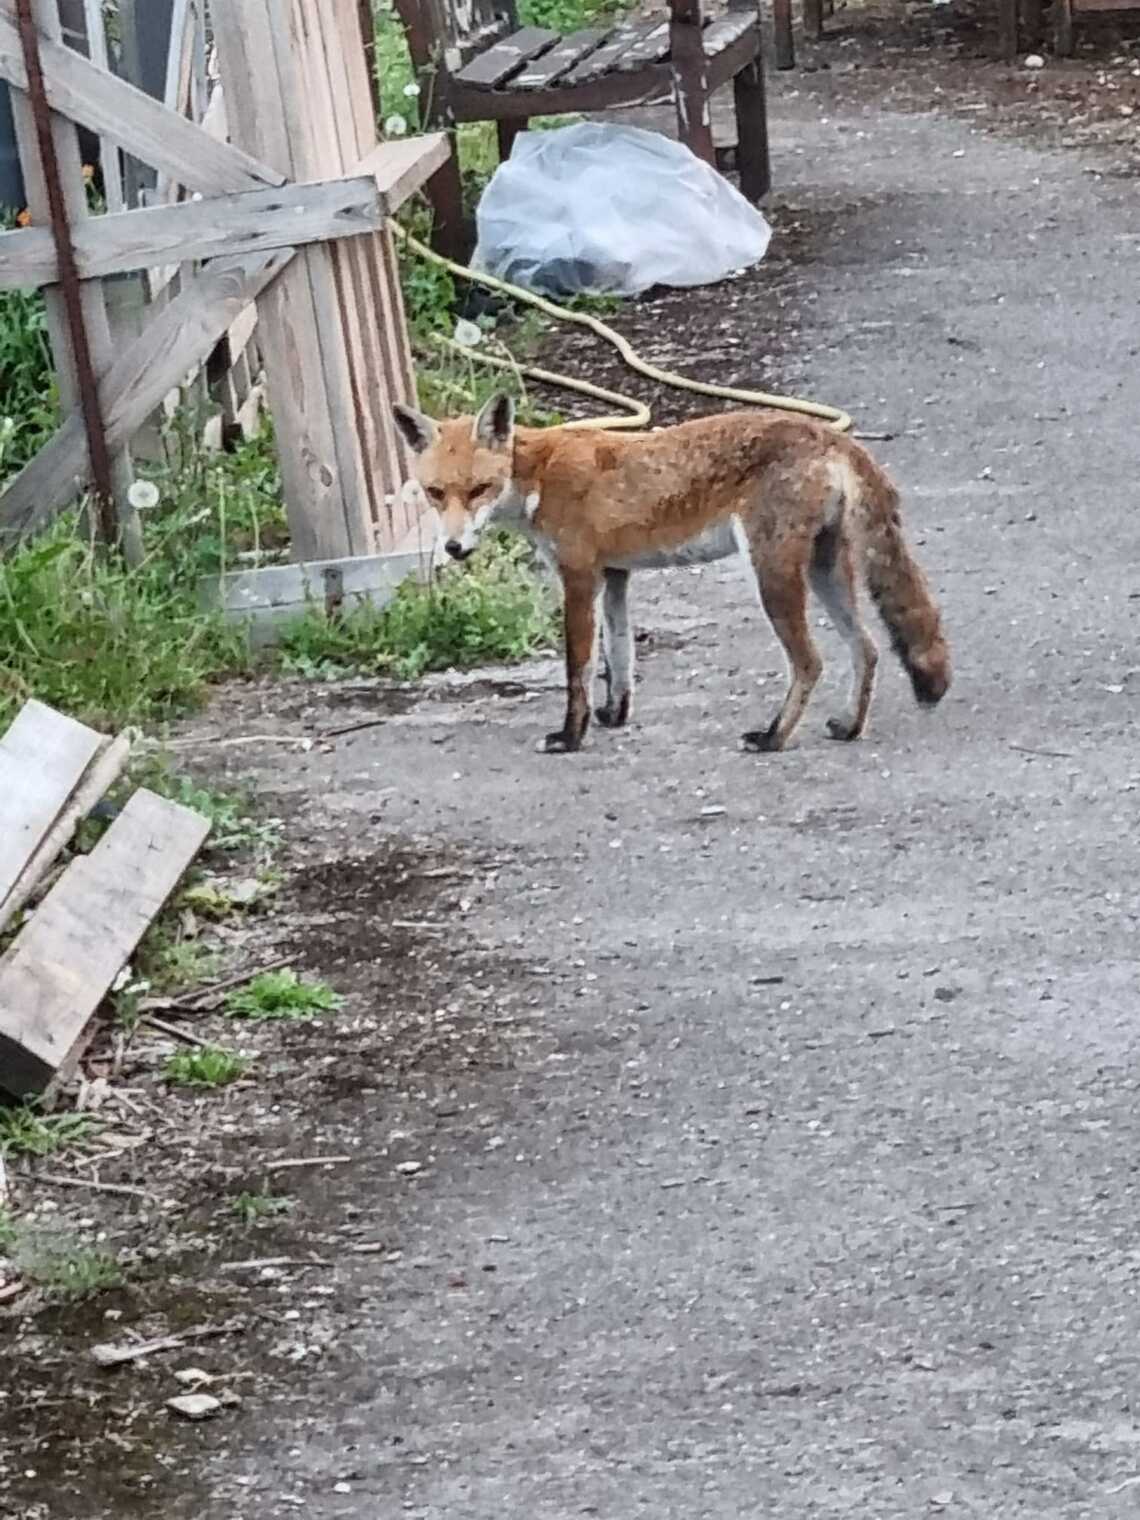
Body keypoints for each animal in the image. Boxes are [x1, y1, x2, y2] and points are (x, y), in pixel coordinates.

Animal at [393, 394, 951, 756]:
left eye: (479, 489)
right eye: (436, 493)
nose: (454, 548)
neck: (540, 477)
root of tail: (829, 433)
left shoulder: (579, 576)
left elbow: (577, 671)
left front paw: (571, 736)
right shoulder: (615, 575)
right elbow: (620, 657)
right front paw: (614, 716)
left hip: (772, 575)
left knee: (811, 663)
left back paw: (773, 737)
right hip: (822, 570)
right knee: (868, 649)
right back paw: (849, 727)